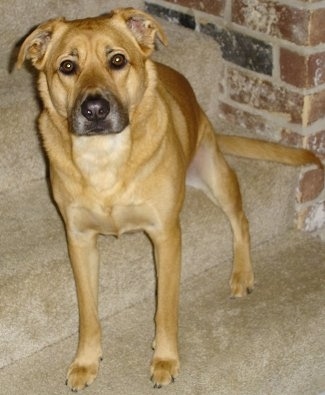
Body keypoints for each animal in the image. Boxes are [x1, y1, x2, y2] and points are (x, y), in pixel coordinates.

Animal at [16, 7, 320, 392]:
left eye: (117, 60)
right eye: (68, 66)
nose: (95, 110)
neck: (104, 157)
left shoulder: (166, 236)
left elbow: (165, 310)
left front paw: (164, 358)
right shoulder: (79, 240)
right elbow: (88, 313)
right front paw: (86, 360)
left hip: (216, 174)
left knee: (241, 221)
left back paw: (242, 273)